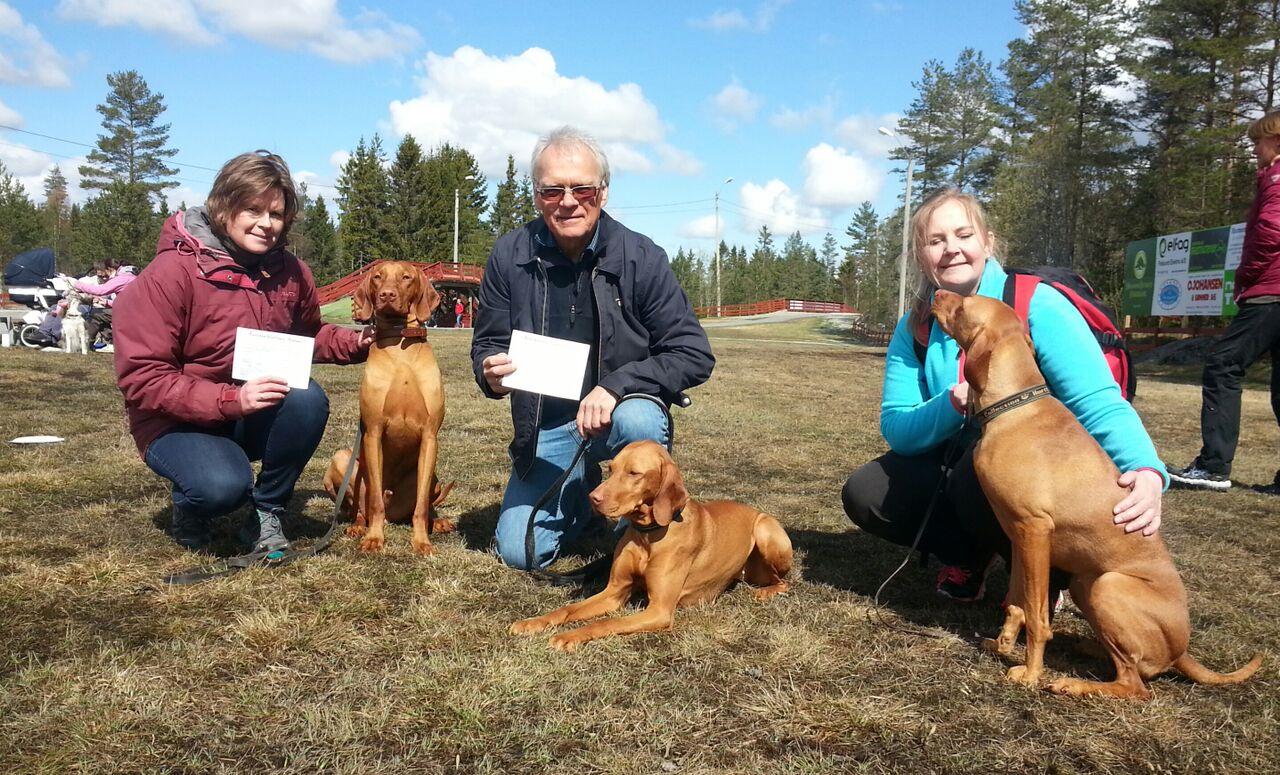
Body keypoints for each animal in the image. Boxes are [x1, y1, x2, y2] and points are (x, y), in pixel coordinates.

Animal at [322, 262, 453, 553]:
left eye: (406, 277)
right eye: (377, 277)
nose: (387, 295)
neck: (399, 347)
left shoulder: (430, 436)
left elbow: (421, 507)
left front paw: (422, 542)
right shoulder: (372, 432)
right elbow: (374, 503)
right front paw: (374, 538)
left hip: (434, 477)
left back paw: (437, 522)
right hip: (342, 459)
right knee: (361, 508)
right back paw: (358, 526)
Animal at [509, 438, 788, 650]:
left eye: (634, 473)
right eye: (611, 469)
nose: (592, 498)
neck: (648, 534)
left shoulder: (659, 610)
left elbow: (607, 623)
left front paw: (570, 635)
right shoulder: (614, 592)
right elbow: (567, 609)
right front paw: (533, 622)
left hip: (766, 532)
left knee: (783, 581)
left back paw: (765, 592)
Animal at [931, 289, 1259, 701]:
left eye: (963, 304)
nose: (936, 292)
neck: (1014, 407)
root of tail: (1182, 651)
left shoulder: (1035, 530)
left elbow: (1037, 616)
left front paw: (1031, 672)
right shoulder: (1020, 537)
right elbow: (1018, 603)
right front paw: (1002, 645)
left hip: (1107, 585)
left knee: (1135, 685)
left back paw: (1073, 682)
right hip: (1084, 582)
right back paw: (1090, 647)